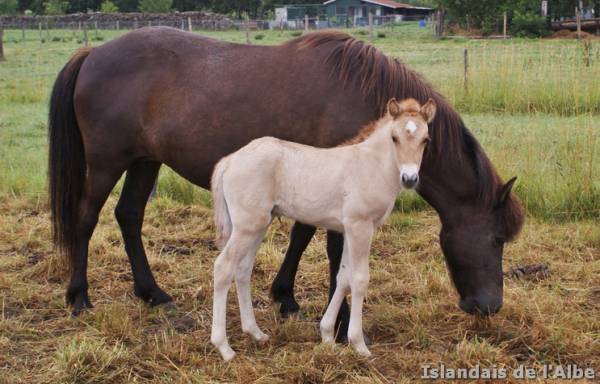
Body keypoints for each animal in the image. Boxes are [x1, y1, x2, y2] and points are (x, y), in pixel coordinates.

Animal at [49, 27, 524, 330]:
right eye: (497, 238)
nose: (490, 307)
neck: (366, 100)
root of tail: (92, 54)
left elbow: (302, 234)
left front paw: (286, 298)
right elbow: (334, 252)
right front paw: (341, 323)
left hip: (145, 160)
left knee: (129, 216)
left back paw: (152, 293)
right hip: (108, 161)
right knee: (86, 219)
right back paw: (79, 298)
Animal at [211, 97, 436, 362]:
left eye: (425, 139)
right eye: (394, 137)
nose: (409, 179)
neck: (371, 165)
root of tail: (230, 160)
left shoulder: (348, 229)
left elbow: (343, 277)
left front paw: (327, 336)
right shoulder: (361, 226)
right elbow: (359, 279)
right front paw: (358, 344)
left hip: (257, 225)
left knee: (243, 269)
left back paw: (255, 333)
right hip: (247, 226)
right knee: (223, 268)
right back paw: (224, 347)